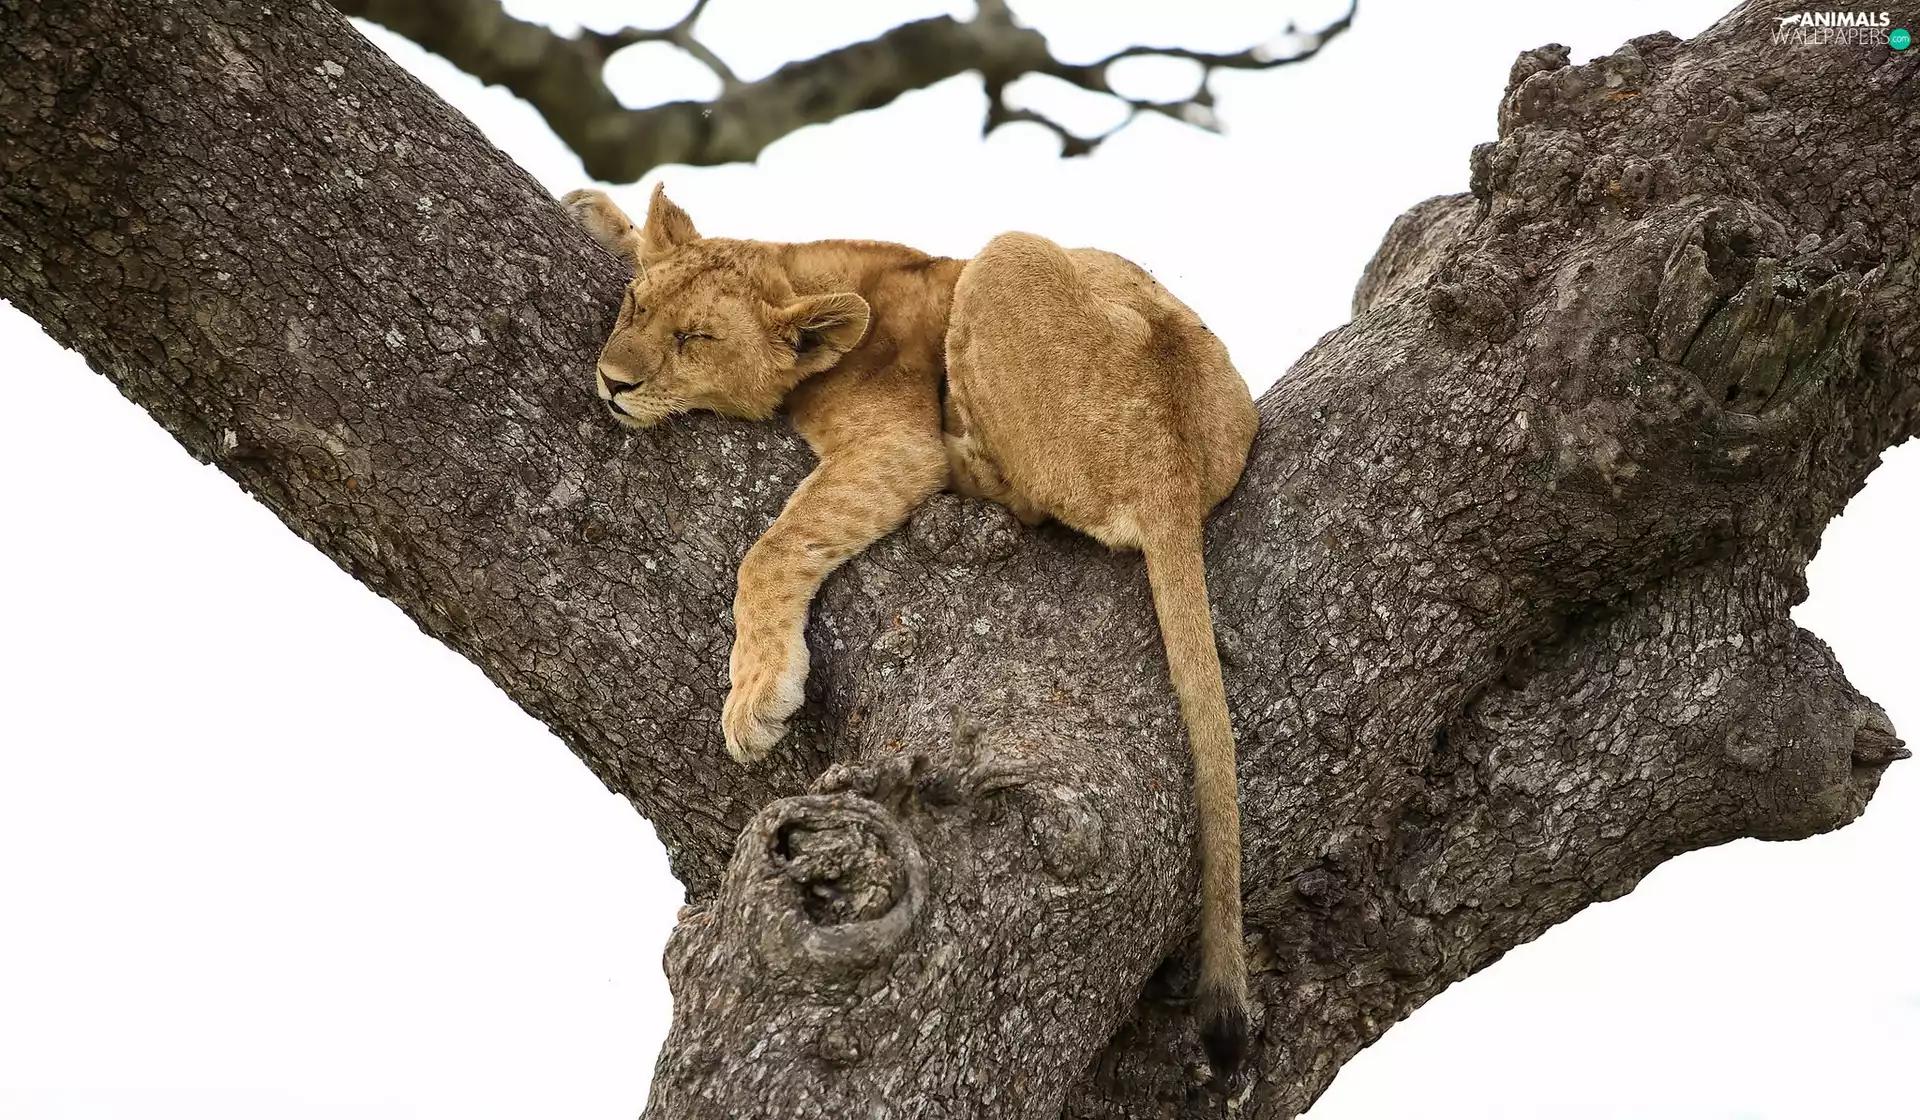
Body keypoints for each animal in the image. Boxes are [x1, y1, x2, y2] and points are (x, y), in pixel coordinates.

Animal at [562, 183, 1259, 1081]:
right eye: (636, 308)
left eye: (696, 340)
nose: (613, 382)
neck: (811, 272)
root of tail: (1174, 467)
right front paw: (599, 215)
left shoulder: (893, 444)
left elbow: (774, 549)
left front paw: (757, 695)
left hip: (1006, 257)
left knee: (1018, 490)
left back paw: (966, 449)